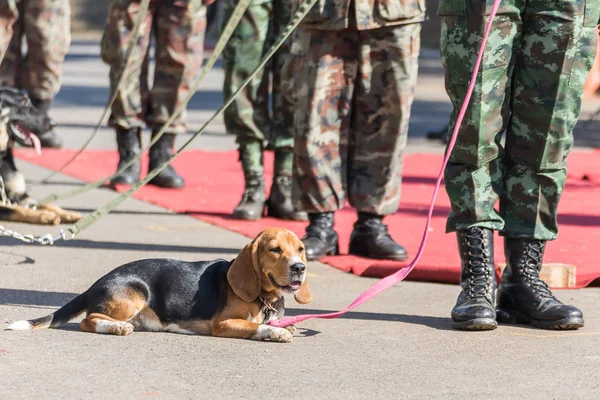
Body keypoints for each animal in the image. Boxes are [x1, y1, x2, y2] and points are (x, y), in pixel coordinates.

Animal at [0, 86, 82, 225]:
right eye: (24, 103)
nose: (54, 123)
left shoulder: (20, 195)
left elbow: (46, 204)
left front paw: (67, 213)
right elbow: (17, 209)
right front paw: (44, 215)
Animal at [5, 228, 310, 344]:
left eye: (301, 249)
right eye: (274, 249)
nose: (299, 268)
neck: (265, 297)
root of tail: (95, 284)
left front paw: (282, 327)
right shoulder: (223, 324)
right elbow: (255, 326)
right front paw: (276, 332)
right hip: (136, 292)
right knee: (87, 320)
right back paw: (116, 328)